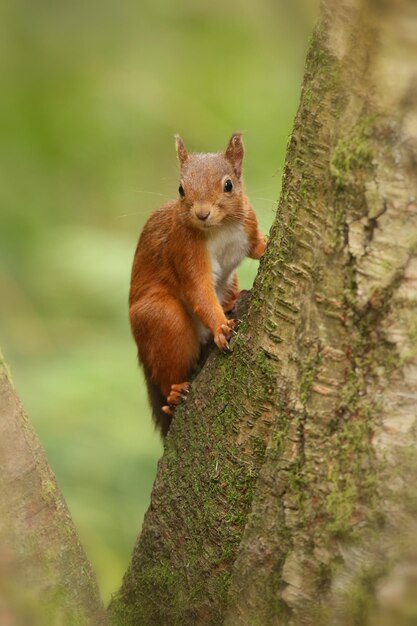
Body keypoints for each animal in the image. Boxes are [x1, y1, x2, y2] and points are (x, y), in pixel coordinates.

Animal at [128, 133, 266, 434]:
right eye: (181, 189)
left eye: (228, 185)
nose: (202, 213)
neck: (220, 228)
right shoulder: (185, 249)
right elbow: (198, 290)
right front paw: (222, 328)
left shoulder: (248, 224)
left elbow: (257, 249)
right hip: (163, 319)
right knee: (168, 370)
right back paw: (174, 392)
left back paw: (232, 300)